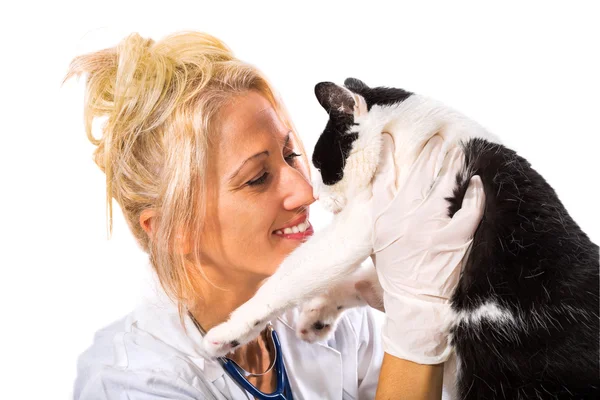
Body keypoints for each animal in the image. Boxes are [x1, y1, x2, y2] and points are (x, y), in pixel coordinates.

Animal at [204, 79, 596, 398]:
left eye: (319, 165)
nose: (313, 195)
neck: (416, 138)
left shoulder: (360, 224)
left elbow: (291, 275)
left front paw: (229, 331)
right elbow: (368, 283)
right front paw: (317, 314)